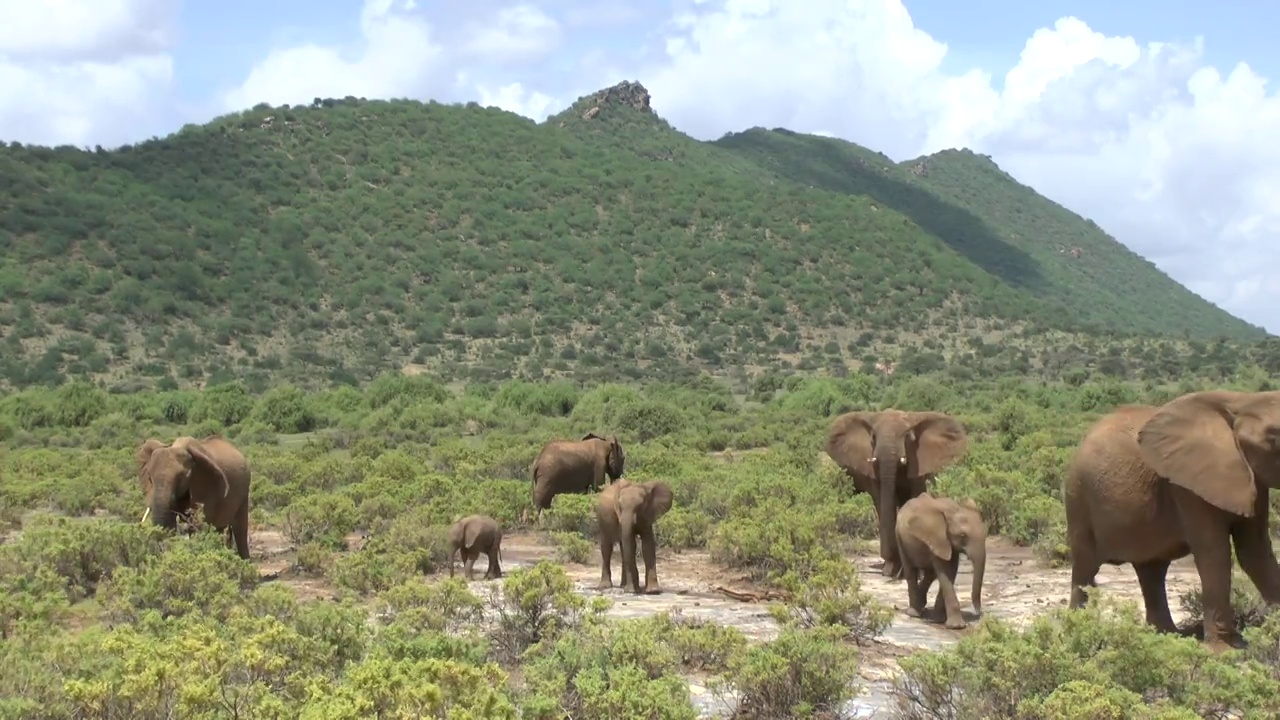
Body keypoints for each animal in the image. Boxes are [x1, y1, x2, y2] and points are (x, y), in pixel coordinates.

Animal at [136, 430, 253, 561]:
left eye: (182, 477)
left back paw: (245, 562)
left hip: (245, 490)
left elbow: (199, 523)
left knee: (240, 528)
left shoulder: (206, 484)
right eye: (149, 478)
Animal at [824, 409, 962, 576]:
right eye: (873, 437)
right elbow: (881, 500)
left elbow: (915, 495)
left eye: (908, 437)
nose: (890, 571)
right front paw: (891, 567)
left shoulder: (917, 463)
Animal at [896, 489, 983, 625]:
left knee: (930, 574)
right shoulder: (937, 538)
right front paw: (956, 626)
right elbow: (945, 572)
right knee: (910, 571)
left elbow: (951, 571)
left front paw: (939, 619)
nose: (979, 612)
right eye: (962, 535)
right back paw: (914, 613)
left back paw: (922, 605)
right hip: (899, 537)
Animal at [1059, 389, 1280, 648]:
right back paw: (1076, 632)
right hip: (1078, 496)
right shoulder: (1187, 485)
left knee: (1152, 570)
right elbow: (1215, 553)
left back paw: (1165, 636)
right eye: (1276, 437)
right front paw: (1224, 651)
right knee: (1085, 567)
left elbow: (1255, 552)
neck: (1242, 401)